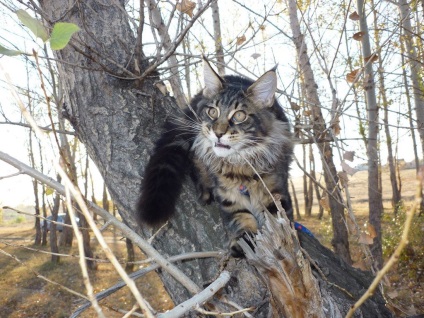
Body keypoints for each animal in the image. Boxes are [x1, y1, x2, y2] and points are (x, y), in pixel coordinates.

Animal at [137, 59, 294, 258]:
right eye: (213, 112)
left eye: (239, 115)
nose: (218, 133)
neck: (240, 165)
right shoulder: (229, 199)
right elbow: (243, 219)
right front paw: (244, 241)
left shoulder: (277, 194)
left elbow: (277, 223)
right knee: (196, 159)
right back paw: (205, 188)